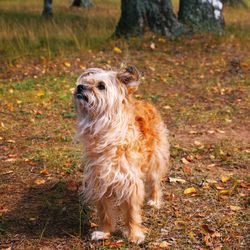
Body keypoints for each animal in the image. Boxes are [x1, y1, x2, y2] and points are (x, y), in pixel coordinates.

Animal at [73, 65, 169, 243]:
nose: (80, 87)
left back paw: (154, 200)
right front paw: (104, 232)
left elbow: (131, 213)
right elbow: (104, 212)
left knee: (155, 182)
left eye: (101, 86)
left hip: (155, 159)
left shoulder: (131, 183)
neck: (105, 130)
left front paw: (134, 234)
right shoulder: (100, 182)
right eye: (85, 82)